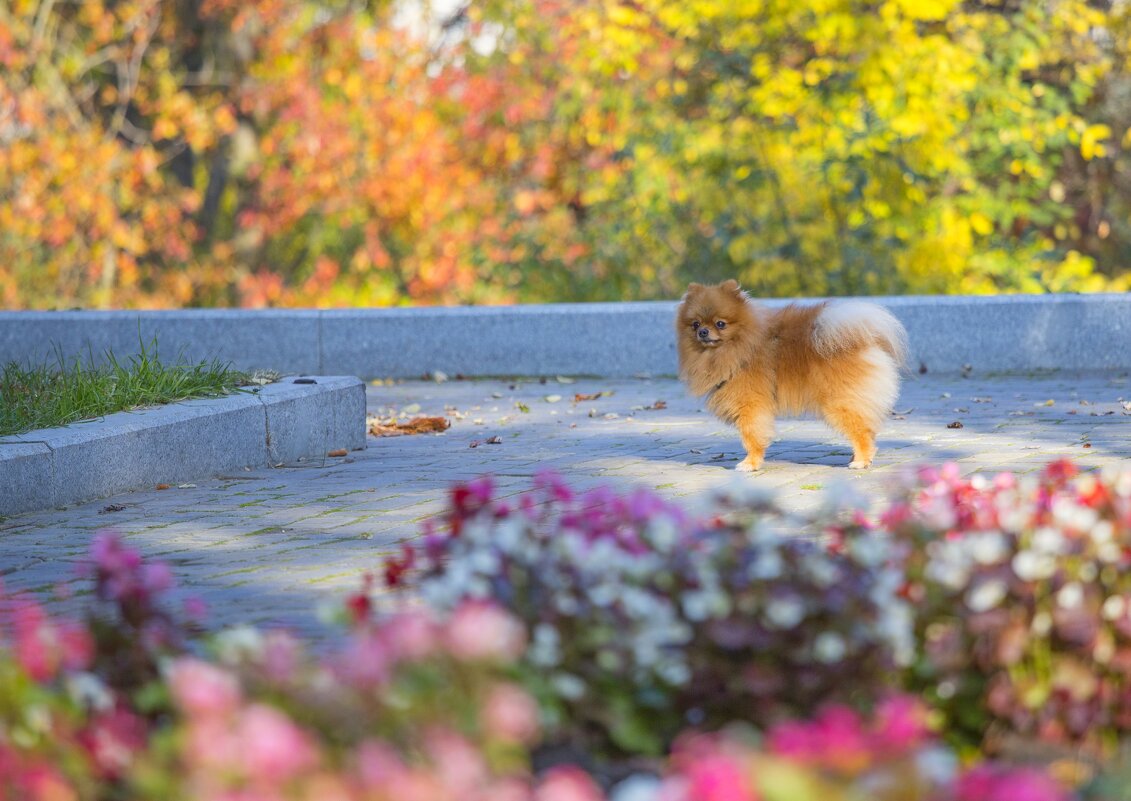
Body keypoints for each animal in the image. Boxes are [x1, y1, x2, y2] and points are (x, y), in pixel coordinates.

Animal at [674, 280, 904, 468]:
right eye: (695, 324)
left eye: (720, 324)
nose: (703, 332)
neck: (740, 347)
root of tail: (863, 342)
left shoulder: (750, 404)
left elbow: (752, 435)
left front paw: (751, 463)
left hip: (839, 401)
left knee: (861, 431)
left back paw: (861, 461)